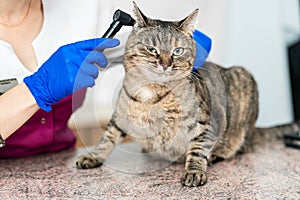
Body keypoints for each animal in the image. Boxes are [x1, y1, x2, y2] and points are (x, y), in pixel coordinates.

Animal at [76, 1, 298, 187]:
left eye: (177, 51)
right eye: (152, 49)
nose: (165, 64)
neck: (152, 93)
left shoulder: (207, 121)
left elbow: (198, 148)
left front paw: (194, 171)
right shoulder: (120, 116)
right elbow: (107, 138)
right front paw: (93, 156)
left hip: (244, 84)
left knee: (240, 147)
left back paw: (216, 155)